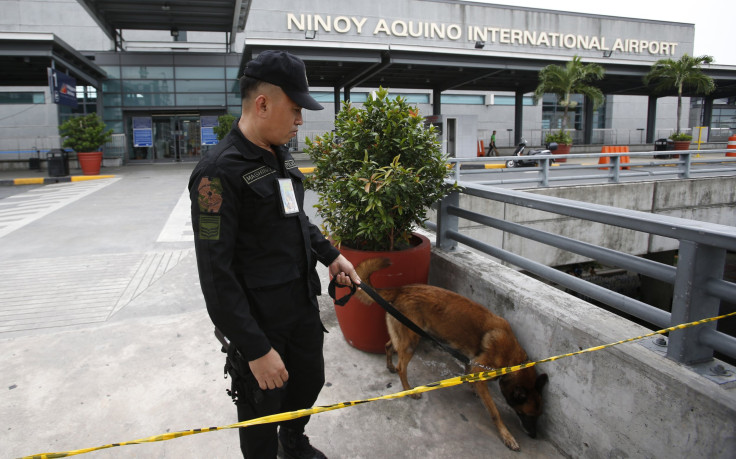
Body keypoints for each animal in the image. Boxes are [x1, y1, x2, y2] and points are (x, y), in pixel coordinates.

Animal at [354, 258, 548, 452]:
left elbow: (469, 375)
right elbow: (494, 412)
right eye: (527, 414)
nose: (534, 436)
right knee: (402, 367)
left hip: (404, 336)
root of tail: (402, 289)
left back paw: (390, 366)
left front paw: (472, 388)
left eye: (539, 416)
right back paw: (409, 390)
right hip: (411, 342)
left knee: (388, 347)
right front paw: (507, 435)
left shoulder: (472, 362)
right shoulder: (480, 367)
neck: (514, 360)